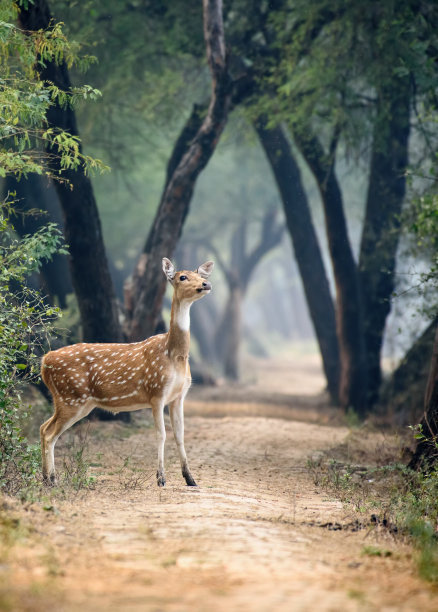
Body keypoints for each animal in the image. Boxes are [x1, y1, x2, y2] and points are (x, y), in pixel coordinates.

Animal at [40, 258, 215, 488]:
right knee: (49, 433)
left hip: (72, 400)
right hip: (71, 397)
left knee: (43, 427)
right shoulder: (156, 391)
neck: (174, 356)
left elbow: (179, 435)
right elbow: (161, 435)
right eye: (182, 277)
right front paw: (161, 479)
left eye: (201, 275)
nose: (206, 284)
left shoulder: (179, 396)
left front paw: (190, 479)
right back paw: (51, 480)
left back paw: (46, 478)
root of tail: (44, 361)